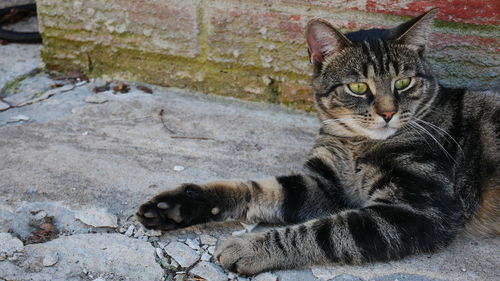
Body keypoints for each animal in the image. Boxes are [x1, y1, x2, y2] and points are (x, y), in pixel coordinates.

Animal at [135, 8, 498, 274]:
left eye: (403, 82)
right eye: (358, 87)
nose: (388, 112)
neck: (355, 144)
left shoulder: (419, 209)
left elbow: (324, 231)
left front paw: (250, 247)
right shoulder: (324, 183)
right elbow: (255, 189)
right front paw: (180, 205)